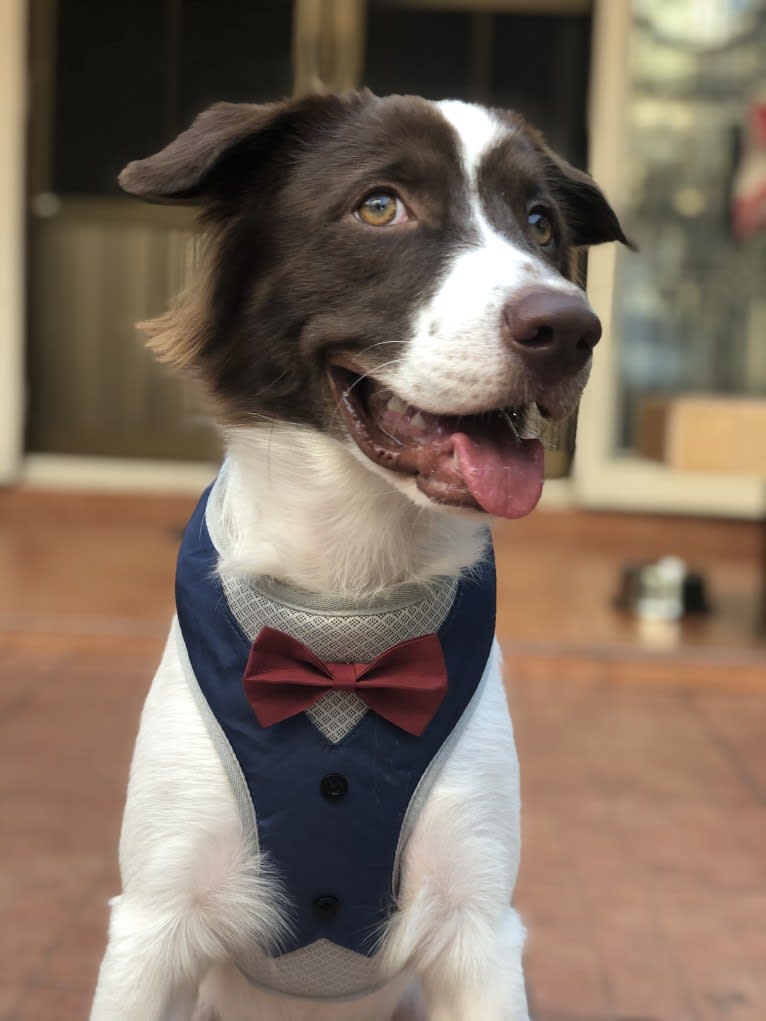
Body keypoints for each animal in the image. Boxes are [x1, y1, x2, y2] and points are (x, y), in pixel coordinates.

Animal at [91, 89, 629, 1021]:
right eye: (380, 206)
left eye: (541, 223)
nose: (570, 328)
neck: (346, 604)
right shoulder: (154, 923)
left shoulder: (478, 927)